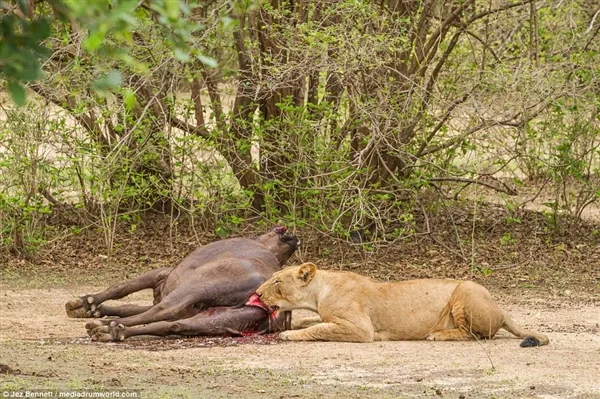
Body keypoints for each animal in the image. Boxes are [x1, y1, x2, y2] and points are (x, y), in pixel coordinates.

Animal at [67, 227, 300, 342]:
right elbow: (129, 305)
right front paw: (93, 309)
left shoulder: (161, 274)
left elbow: (120, 288)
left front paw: (84, 303)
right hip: (218, 319)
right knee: (173, 325)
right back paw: (112, 330)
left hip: (197, 288)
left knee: (165, 311)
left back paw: (105, 326)